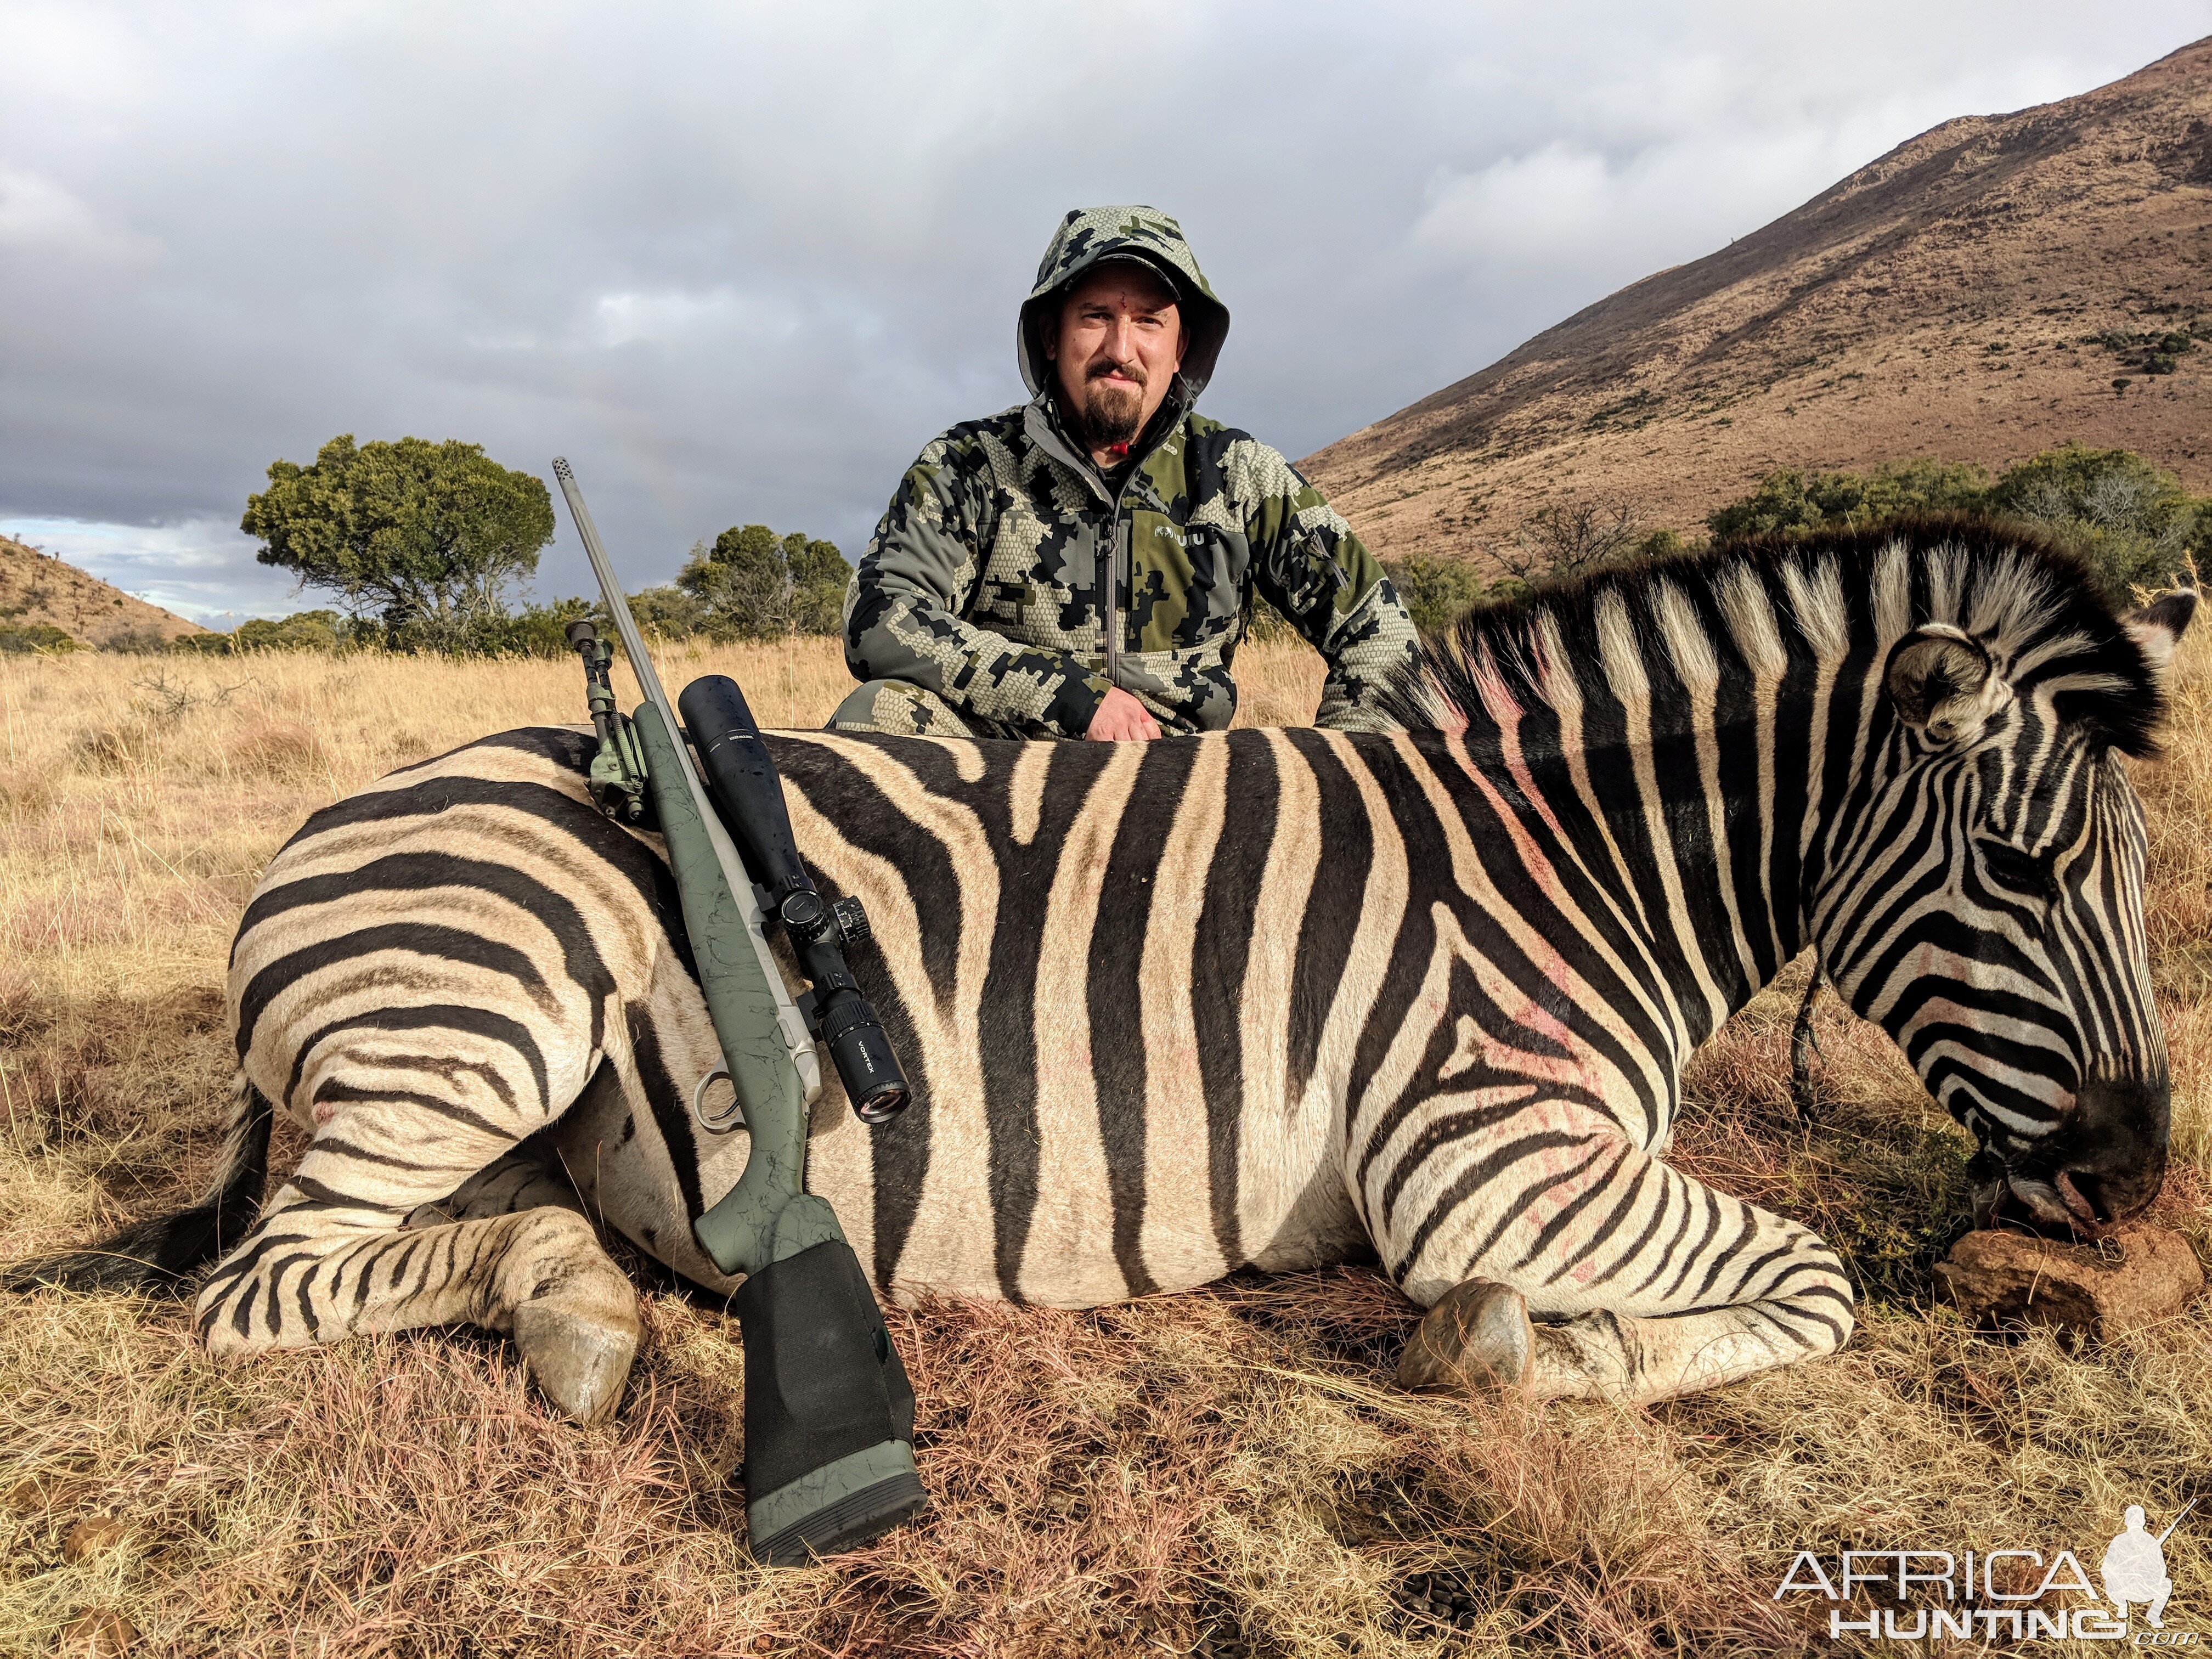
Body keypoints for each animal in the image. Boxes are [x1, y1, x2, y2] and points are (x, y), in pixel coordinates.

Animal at [8, 517, 2194, 1415]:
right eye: (2018, 866)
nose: (2134, 1181)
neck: (1562, 865)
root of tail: (317, 838)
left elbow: (1800, 1277)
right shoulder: (1480, 1158)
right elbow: (1817, 1280)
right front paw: (1529, 1352)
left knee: (451, 1231)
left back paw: (574, 1291)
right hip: (485, 1009)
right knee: (256, 1285)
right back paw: (581, 1324)